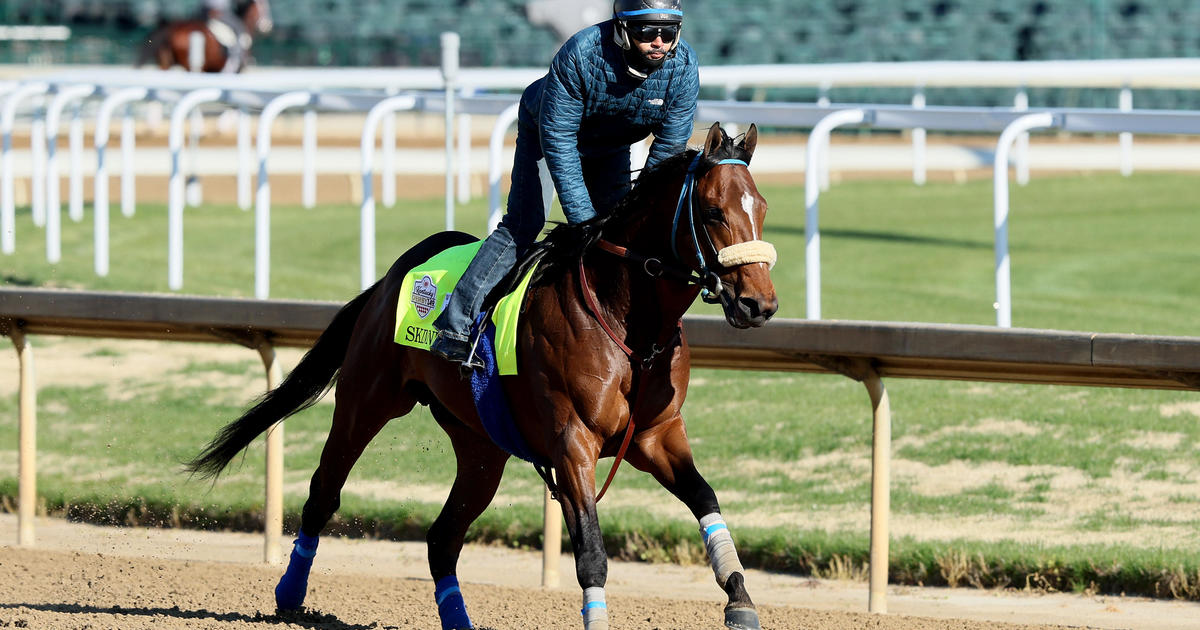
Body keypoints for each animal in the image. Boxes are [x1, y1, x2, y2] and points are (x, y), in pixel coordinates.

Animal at [182, 123, 772, 628]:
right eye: (713, 211)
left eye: (762, 208)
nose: (759, 303)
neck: (627, 322)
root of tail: (387, 280)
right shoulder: (572, 443)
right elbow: (592, 554)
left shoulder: (657, 435)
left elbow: (706, 499)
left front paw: (740, 600)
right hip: (365, 402)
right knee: (324, 494)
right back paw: (289, 592)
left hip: (481, 446)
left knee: (442, 538)